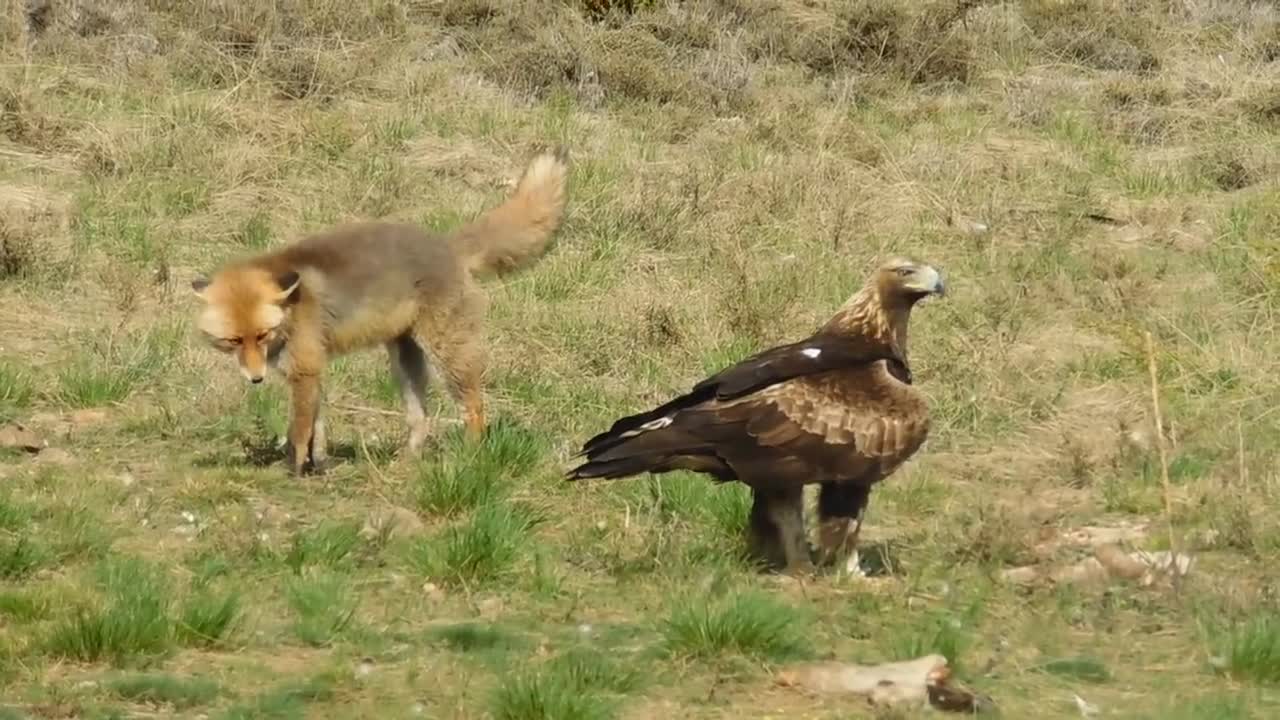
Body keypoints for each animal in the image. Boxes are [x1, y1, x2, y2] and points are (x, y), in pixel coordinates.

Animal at [189, 146, 570, 476]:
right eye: (233, 341)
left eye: (262, 335)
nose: (256, 379)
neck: (292, 315)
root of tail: (446, 245)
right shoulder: (311, 371)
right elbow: (317, 430)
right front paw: (319, 467)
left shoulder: (306, 370)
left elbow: (299, 433)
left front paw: (294, 473)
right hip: (405, 362)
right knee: (421, 419)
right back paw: (408, 461)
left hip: (447, 354)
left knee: (473, 408)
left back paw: (470, 457)